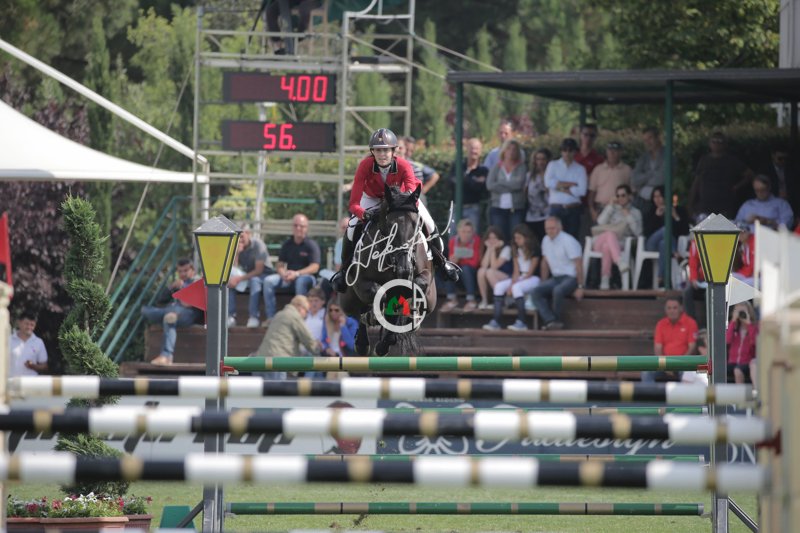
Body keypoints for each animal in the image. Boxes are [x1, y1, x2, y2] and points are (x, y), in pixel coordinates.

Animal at [339, 184, 437, 356]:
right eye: (390, 226)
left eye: (416, 225)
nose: (404, 269)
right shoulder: (361, 282)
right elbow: (379, 294)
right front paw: (374, 317)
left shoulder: (424, 274)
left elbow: (416, 286)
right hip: (347, 301)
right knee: (359, 313)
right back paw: (363, 341)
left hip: (431, 300)